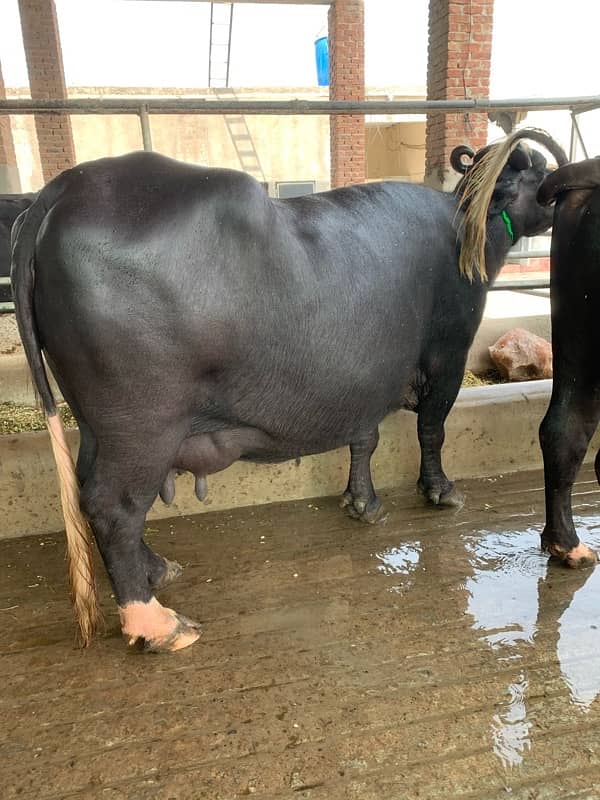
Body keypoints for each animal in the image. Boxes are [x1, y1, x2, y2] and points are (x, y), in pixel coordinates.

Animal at [12, 126, 568, 648]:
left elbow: (364, 438)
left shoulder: (362, 382)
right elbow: (432, 429)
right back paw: (156, 623)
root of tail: (61, 191)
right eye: (536, 174)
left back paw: (156, 569)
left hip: (97, 424)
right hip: (142, 425)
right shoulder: (447, 353)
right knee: (113, 505)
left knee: (93, 490)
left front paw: (362, 503)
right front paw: (440, 492)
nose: (556, 194)